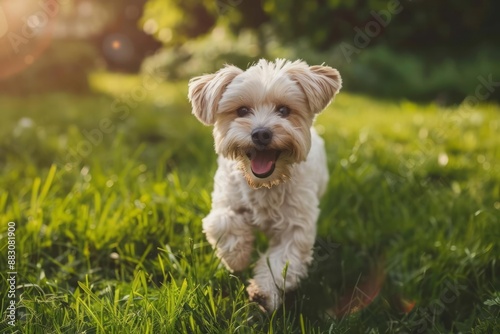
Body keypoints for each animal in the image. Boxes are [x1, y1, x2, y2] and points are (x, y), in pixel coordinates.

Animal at [188, 58, 340, 312]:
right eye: (242, 110)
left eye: (284, 111)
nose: (261, 133)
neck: (265, 184)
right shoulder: (225, 202)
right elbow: (223, 223)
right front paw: (237, 258)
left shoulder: (295, 228)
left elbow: (281, 262)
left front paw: (264, 292)